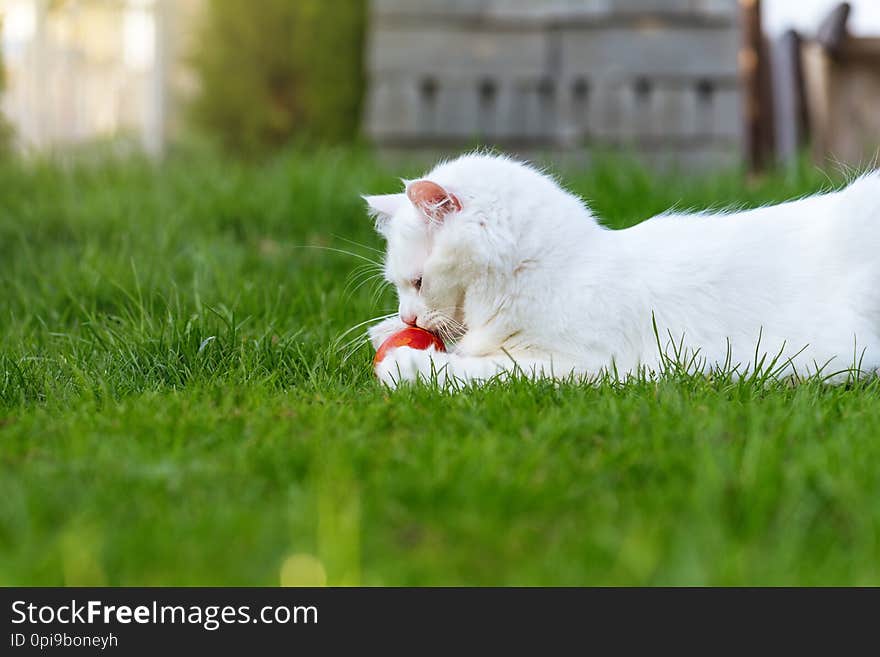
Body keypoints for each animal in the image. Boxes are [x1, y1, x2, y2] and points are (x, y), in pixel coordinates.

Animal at [362, 152, 880, 390]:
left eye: (419, 282)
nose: (408, 318)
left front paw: (405, 364)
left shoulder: (581, 367)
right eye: (400, 288)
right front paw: (385, 333)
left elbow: (481, 371)